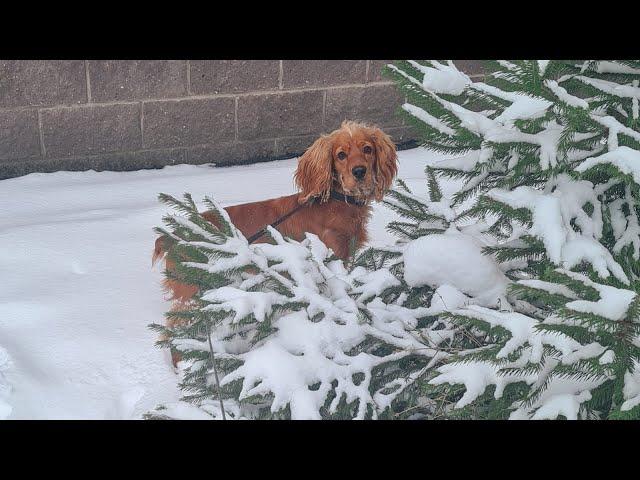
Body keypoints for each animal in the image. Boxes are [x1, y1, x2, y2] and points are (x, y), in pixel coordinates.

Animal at [152, 121, 398, 364]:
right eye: (341, 155)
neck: (337, 201)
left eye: (367, 149)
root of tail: (171, 236)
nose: (359, 171)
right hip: (190, 293)